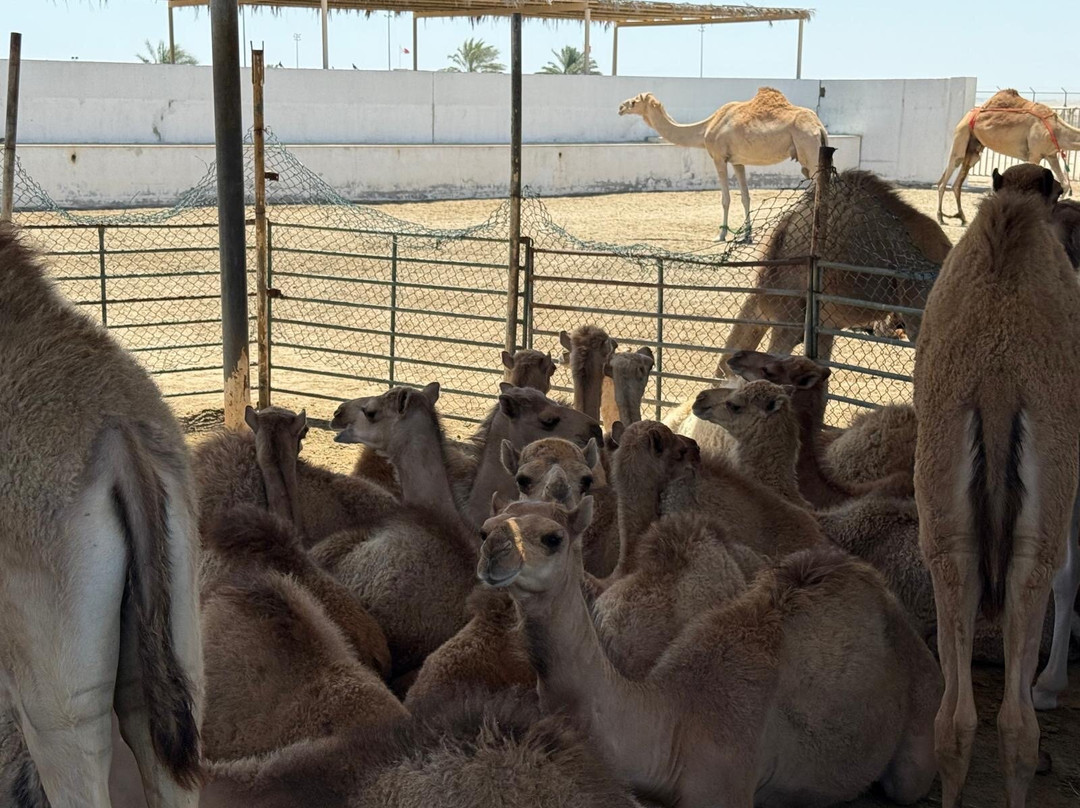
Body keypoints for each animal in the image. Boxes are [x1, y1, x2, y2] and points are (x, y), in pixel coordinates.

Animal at [479, 498, 941, 808]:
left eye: (552, 538)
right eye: (485, 528)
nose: (492, 552)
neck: (675, 717)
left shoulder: (726, 785)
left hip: (921, 717)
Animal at [619, 86, 828, 241]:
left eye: (634, 101)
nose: (621, 107)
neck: (706, 128)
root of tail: (819, 127)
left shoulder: (719, 157)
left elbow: (725, 198)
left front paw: (721, 234)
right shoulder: (738, 161)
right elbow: (745, 197)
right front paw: (746, 236)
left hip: (808, 148)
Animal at [936, 89, 1080, 225]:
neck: (1057, 129)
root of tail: (966, 116)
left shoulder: (1051, 155)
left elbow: (1065, 185)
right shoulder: (1035, 154)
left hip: (974, 149)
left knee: (957, 183)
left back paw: (962, 218)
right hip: (962, 134)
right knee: (947, 175)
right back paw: (940, 217)